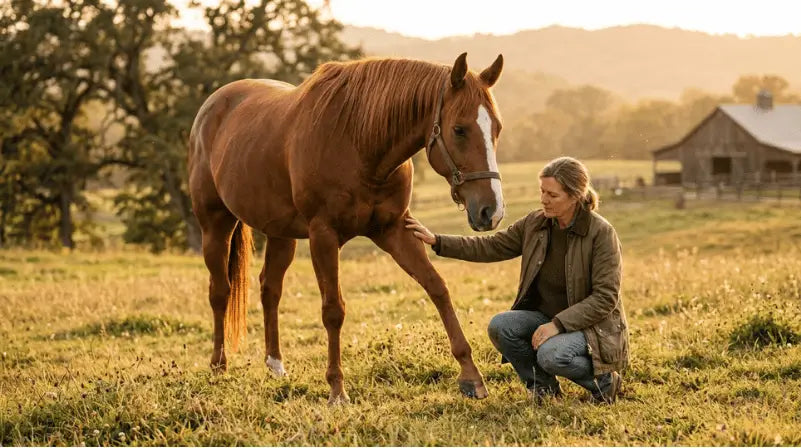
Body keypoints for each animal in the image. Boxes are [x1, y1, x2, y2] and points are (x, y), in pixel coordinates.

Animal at [188, 52, 505, 404]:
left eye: (496, 129)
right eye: (459, 129)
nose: (491, 211)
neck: (359, 142)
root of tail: (212, 105)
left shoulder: (394, 230)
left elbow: (437, 288)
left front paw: (471, 375)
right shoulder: (323, 236)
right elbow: (333, 310)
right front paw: (337, 389)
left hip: (280, 234)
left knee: (269, 288)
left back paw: (275, 364)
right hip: (215, 225)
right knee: (220, 292)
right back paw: (219, 366)